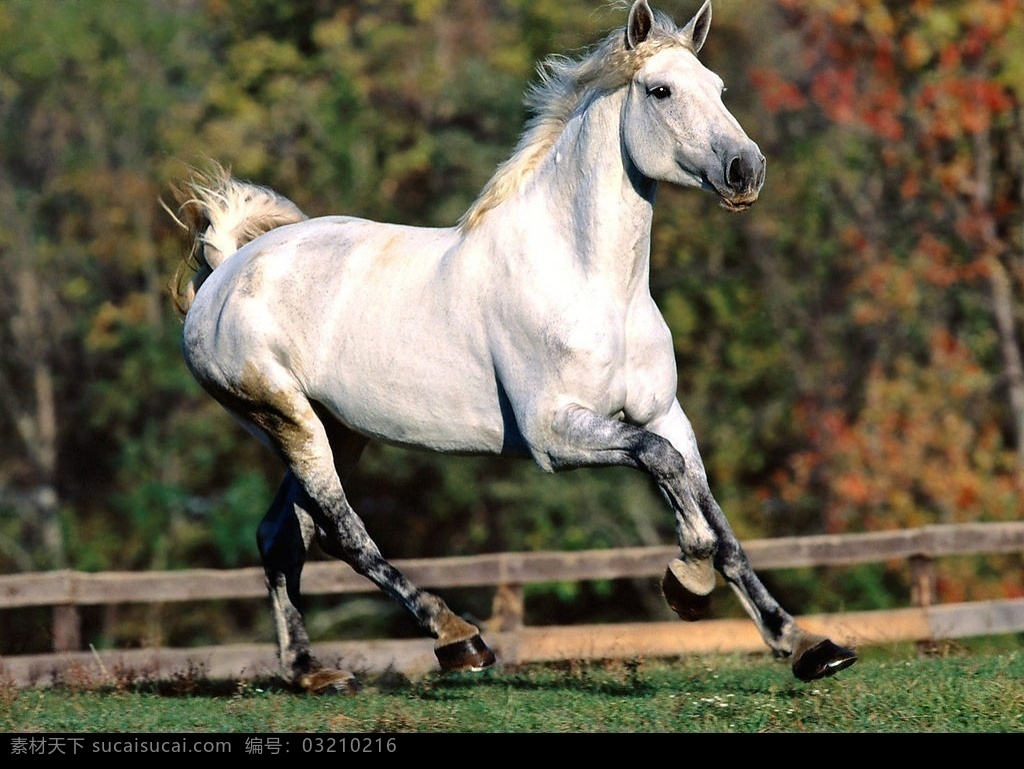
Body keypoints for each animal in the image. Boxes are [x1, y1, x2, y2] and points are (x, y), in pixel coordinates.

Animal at [169, 0, 856, 688]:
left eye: (718, 88)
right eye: (660, 90)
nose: (746, 170)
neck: (593, 285)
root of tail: (227, 271)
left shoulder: (665, 414)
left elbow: (715, 515)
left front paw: (806, 645)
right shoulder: (554, 434)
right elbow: (663, 467)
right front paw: (687, 581)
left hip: (338, 430)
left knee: (281, 535)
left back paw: (311, 671)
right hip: (288, 419)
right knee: (342, 533)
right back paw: (457, 638)